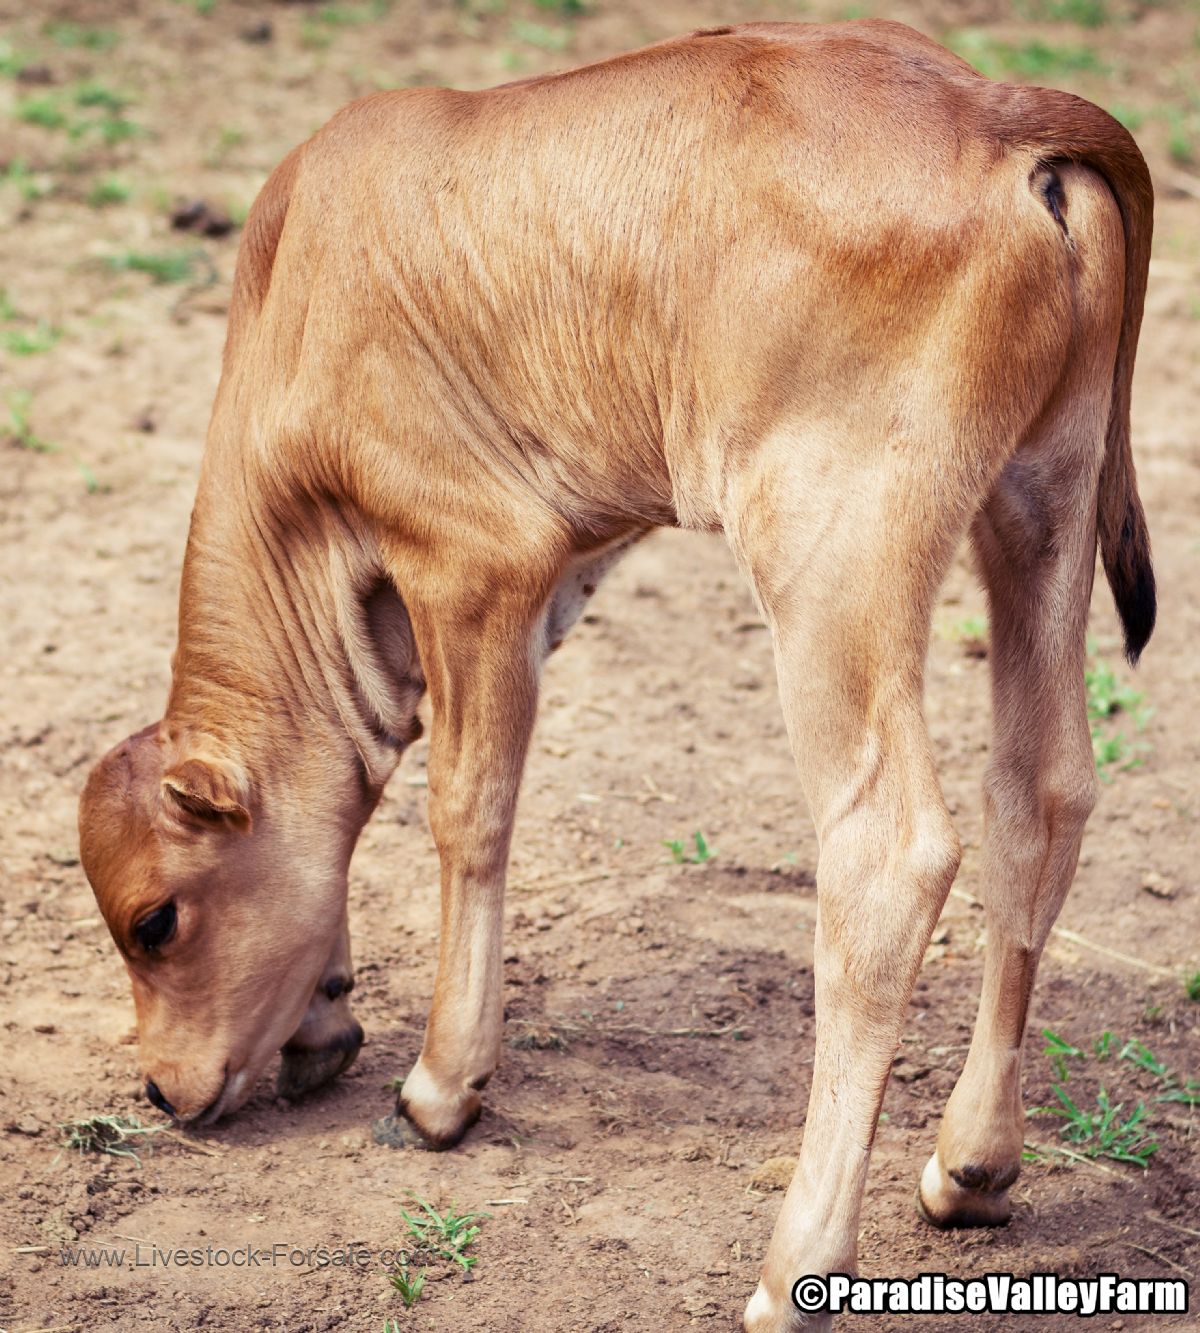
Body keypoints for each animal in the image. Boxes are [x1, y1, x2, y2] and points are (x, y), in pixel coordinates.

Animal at [78, 20, 1154, 1330]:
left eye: (157, 919)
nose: (163, 1093)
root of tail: (985, 101)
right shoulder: (562, 564)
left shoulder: (475, 561)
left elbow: (465, 810)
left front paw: (440, 1086)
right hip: (1042, 501)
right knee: (1041, 795)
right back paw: (974, 1165)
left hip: (832, 556)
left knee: (887, 852)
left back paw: (795, 1266)